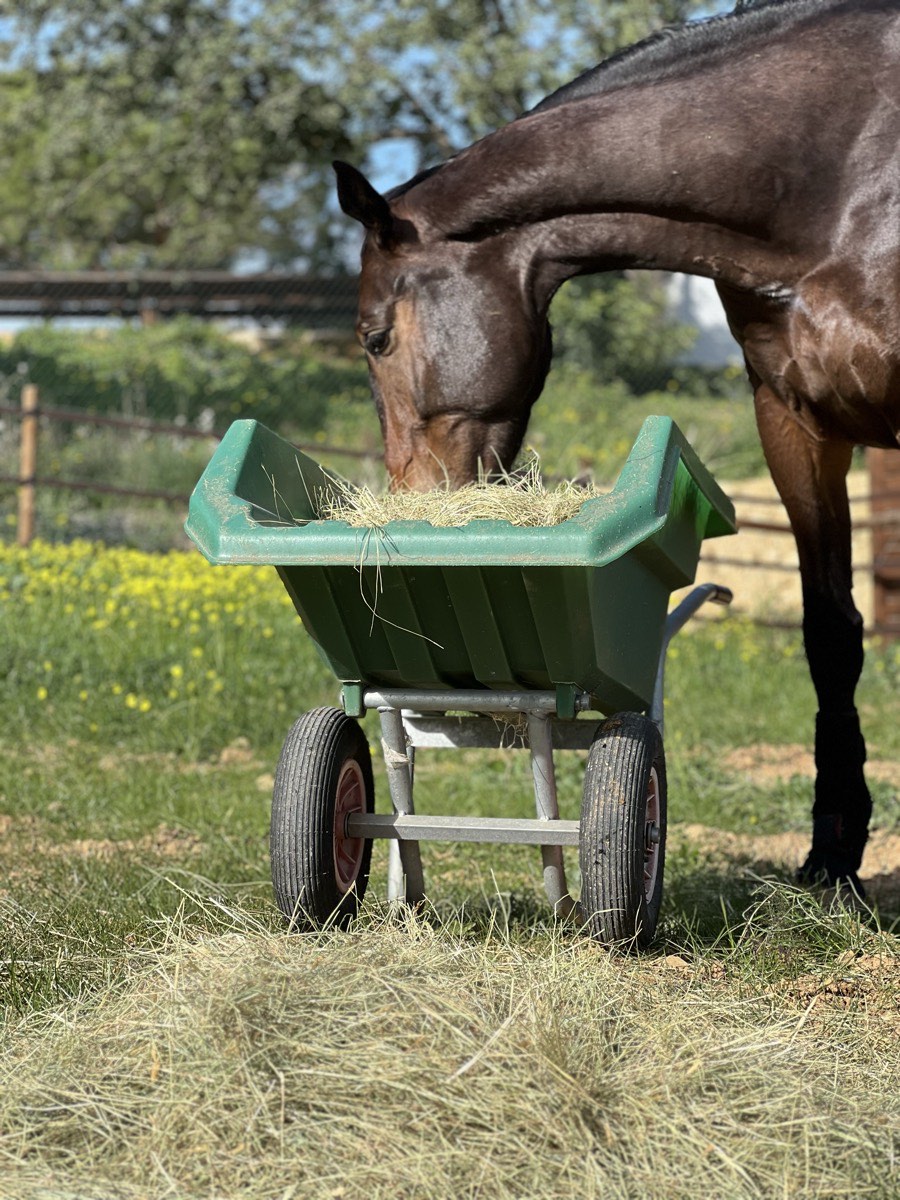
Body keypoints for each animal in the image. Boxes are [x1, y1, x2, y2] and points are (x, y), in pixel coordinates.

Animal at [333, 0, 900, 895]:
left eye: (374, 336)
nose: (414, 505)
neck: (840, 174)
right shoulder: (794, 420)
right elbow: (831, 634)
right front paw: (833, 852)